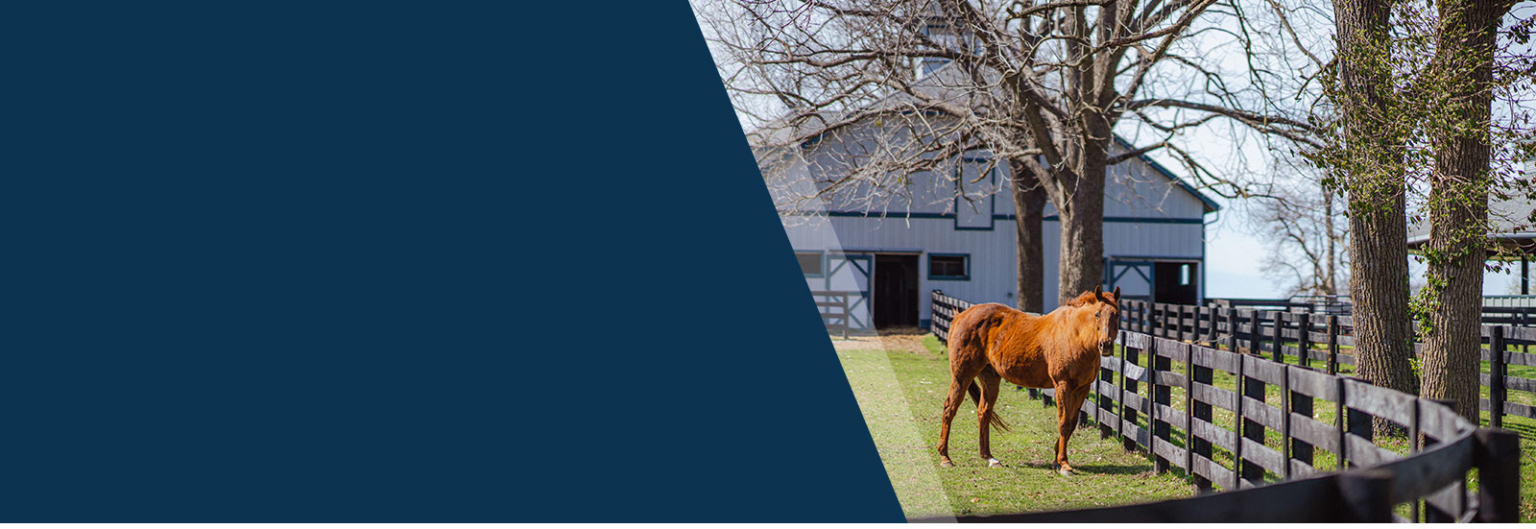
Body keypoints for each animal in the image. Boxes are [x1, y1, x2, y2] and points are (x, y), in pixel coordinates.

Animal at [937, 285, 1121, 476]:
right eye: (1097, 314)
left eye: (1116, 314)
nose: (1106, 345)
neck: (1075, 335)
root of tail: (960, 316)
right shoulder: (1062, 385)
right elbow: (1063, 423)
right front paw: (1064, 464)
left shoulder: (1082, 388)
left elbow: (1071, 423)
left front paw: (1056, 461)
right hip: (962, 376)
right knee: (949, 408)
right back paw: (945, 457)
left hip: (990, 378)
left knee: (984, 412)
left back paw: (989, 458)